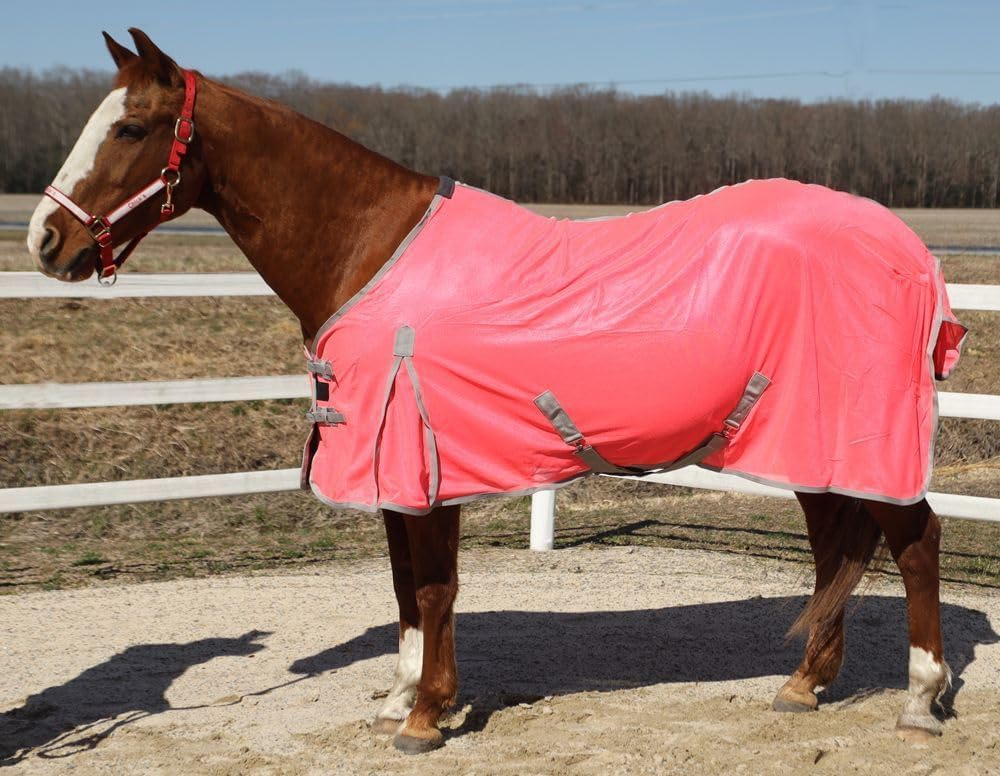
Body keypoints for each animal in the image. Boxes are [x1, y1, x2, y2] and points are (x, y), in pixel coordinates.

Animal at [27, 29, 966, 754]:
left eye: (132, 127)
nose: (45, 241)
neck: (371, 248)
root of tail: (908, 250)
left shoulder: (421, 461)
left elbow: (434, 589)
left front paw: (426, 718)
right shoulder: (394, 470)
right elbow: (405, 588)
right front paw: (401, 699)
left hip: (865, 436)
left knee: (915, 541)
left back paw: (922, 699)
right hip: (812, 440)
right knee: (836, 548)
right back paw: (804, 685)